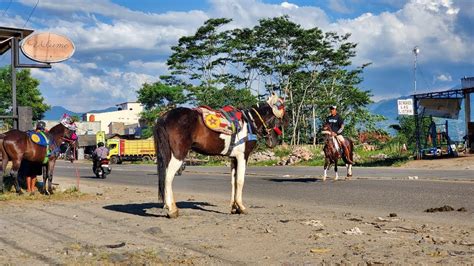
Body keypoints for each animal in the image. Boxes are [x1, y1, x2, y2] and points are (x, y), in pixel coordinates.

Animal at [154, 94, 286, 217]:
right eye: (278, 120)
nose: (274, 142)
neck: (249, 123)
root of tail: (164, 117)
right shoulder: (243, 156)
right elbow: (240, 180)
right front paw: (241, 207)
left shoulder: (233, 158)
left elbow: (233, 181)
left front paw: (234, 207)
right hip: (178, 155)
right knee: (168, 177)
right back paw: (172, 209)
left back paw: (167, 205)